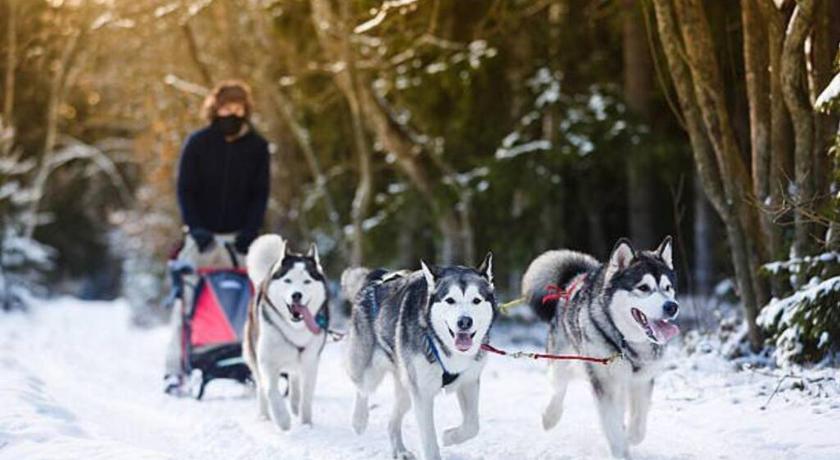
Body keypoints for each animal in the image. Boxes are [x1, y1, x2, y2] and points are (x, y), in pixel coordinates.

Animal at [243, 234, 329, 430]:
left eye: (307, 281)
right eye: (288, 280)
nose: (296, 295)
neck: (294, 329)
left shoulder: (311, 361)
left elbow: (307, 396)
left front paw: (306, 424)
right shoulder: (267, 360)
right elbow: (272, 391)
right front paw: (282, 419)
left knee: (295, 378)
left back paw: (295, 405)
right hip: (254, 354)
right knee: (262, 388)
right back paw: (264, 416)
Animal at [340, 253, 497, 460]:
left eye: (476, 300)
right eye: (450, 300)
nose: (464, 322)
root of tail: (376, 279)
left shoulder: (469, 382)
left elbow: (472, 426)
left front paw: (449, 437)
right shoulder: (423, 393)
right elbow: (429, 441)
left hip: (407, 389)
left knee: (392, 422)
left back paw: (400, 450)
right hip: (371, 371)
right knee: (362, 388)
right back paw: (359, 420)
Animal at [523, 237, 679, 458]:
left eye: (667, 287)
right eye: (643, 287)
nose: (672, 306)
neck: (627, 343)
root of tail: (577, 278)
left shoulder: (642, 380)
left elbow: (638, 424)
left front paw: (630, 436)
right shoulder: (604, 382)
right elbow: (612, 423)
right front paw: (621, 449)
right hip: (563, 360)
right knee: (559, 386)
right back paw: (550, 416)